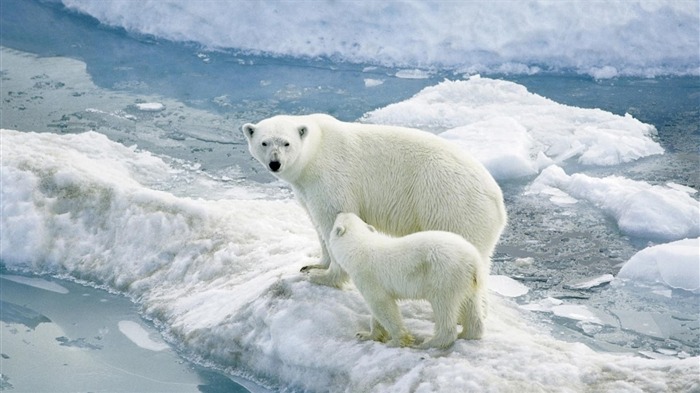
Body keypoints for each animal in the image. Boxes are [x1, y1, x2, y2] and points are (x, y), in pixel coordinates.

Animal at [243, 113, 506, 288]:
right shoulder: (305, 189)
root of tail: (499, 203)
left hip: (452, 205)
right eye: (264, 142)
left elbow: (333, 218)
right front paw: (314, 264)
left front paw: (324, 277)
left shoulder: (331, 177)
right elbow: (317, 223)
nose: (275, 163)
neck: (315, 151)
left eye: (286, 143)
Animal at [330, 211, 486, 346]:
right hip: (467, 281)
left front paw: (397, 341)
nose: (340, 211)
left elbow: (382, 305)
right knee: (470, 305)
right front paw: (366, 335)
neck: (359, 247)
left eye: (339, 219)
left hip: (444, 274)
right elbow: (378, 311)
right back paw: (466, 334)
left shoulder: (368, 276)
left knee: (443, 305)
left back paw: (429, 342)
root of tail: (474, 260)